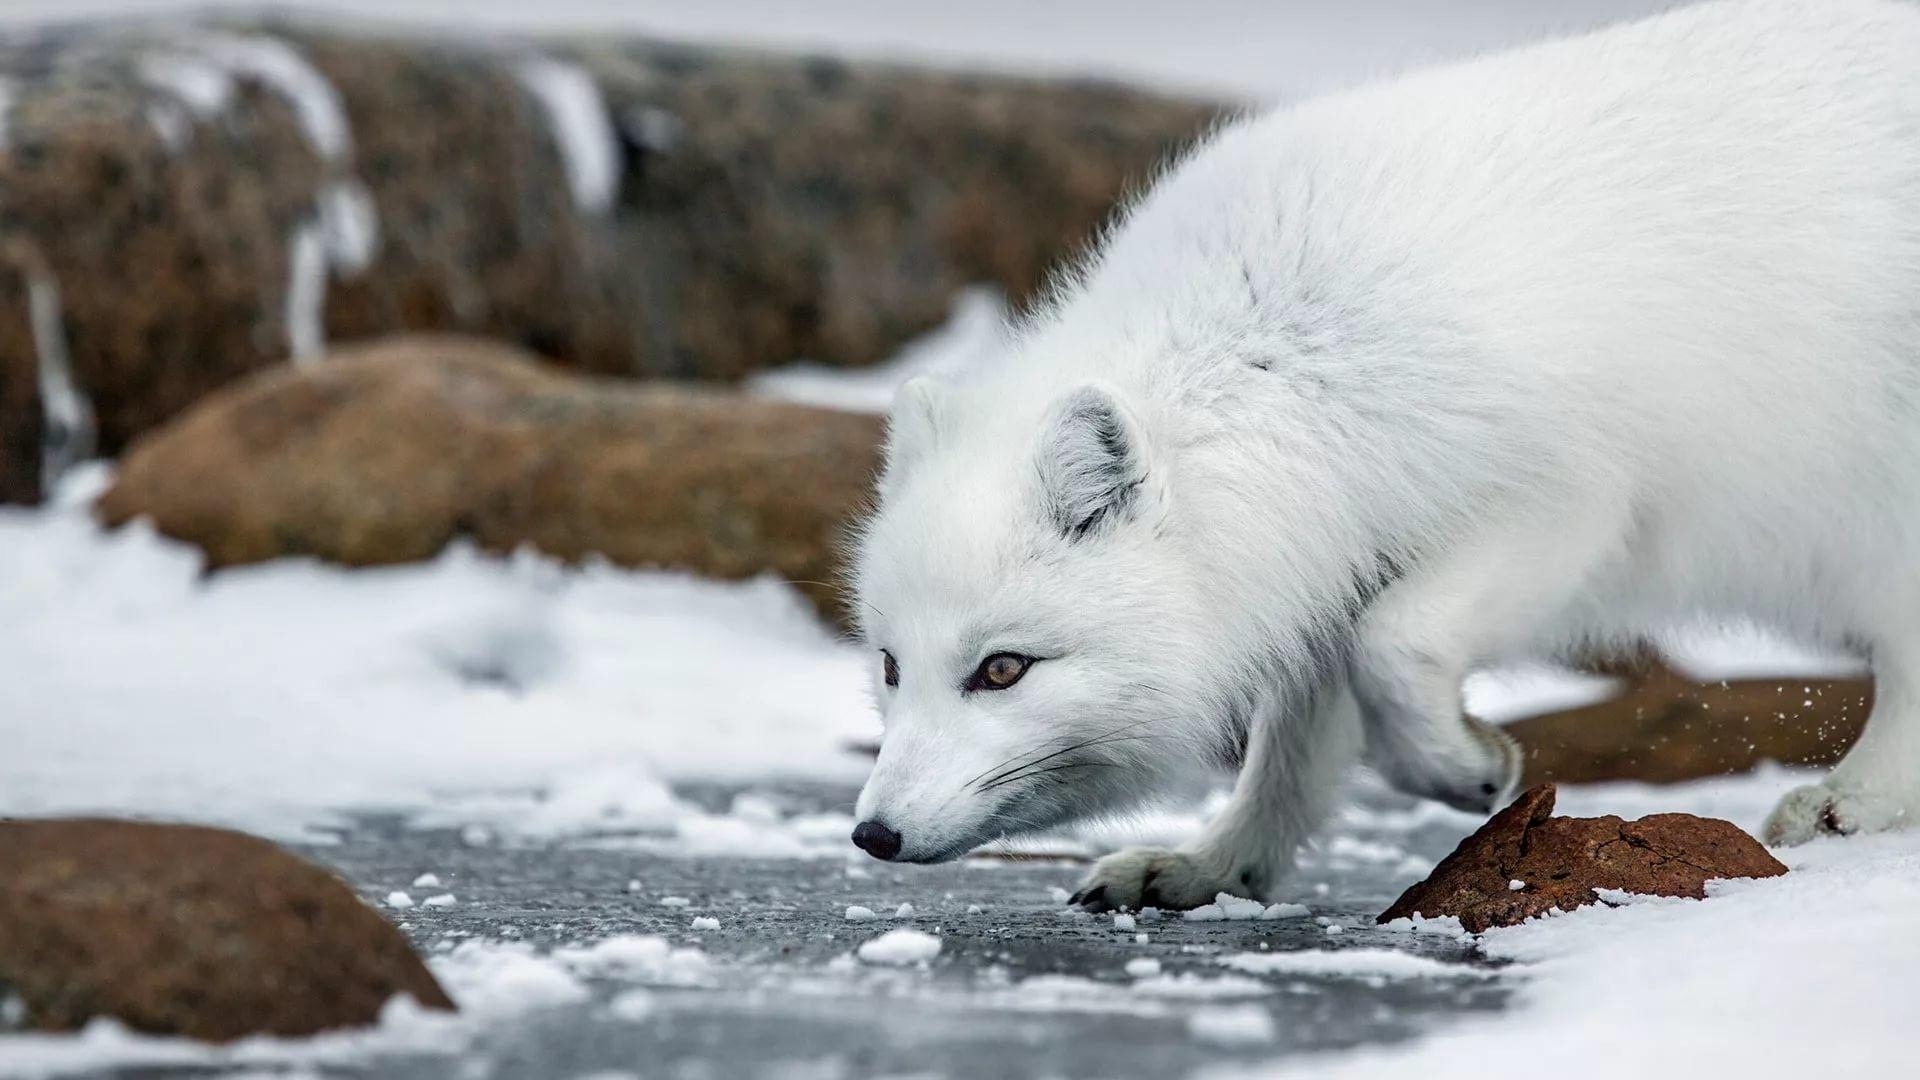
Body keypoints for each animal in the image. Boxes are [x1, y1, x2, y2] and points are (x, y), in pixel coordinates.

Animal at [848, 0, 1920, 907]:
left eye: (1002, 669)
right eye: (891, 665)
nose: (873, 835)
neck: (1284, 361)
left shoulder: (1567, 504)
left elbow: (1393, 646)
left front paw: (1467, 765)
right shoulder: (1321, 556)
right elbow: (1293, 746)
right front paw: (1217, 866)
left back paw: (1853, 801)